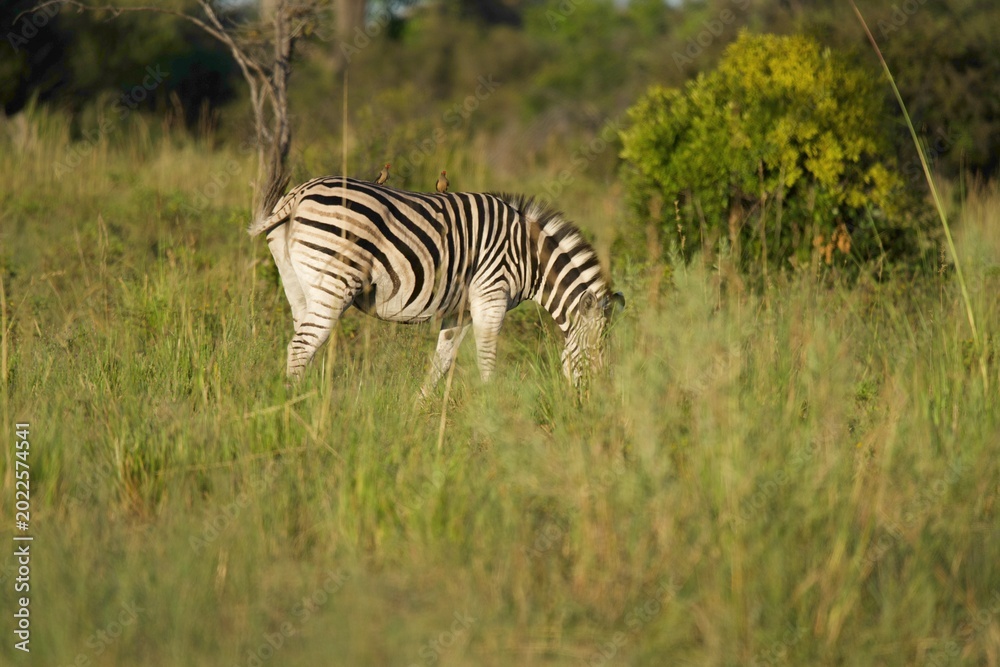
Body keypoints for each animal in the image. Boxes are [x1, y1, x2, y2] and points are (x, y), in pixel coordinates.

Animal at [248, 176, 624, 393]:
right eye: (594, 354)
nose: (593, 405)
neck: (529, 257)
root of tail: (299, 192)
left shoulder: (462, 311)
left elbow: (441, 362)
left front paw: (421, 414)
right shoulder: (491, 294)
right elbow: (486, 357)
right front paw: (492, 411)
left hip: (298, 283)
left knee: (303, 345)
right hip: (334, 281)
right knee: (301, 347)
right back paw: (296, 411)